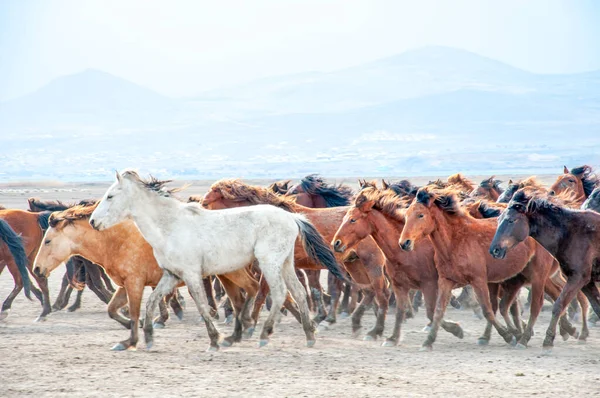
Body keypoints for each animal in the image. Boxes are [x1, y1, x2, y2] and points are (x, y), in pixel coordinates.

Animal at [86, 169, 344, 350]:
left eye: (110, 196)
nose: (92, 222)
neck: (170, 226)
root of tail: (292, 217)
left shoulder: (191, 274)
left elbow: (202, 306)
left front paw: (214, 340)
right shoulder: (171, 275)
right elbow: (151, 303)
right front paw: (146, 339)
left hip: (269, 264)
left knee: (280, 293)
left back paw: (263, 335)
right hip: (286, 263)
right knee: (298, 292)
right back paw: (309, 336)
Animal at [328, 188, 464, 346]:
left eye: (353, 219)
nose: (336, 243)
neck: (407, 252)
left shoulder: (428, 285)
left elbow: (432, 312)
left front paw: (456, 329)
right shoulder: (400, 286)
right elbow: (400, 312)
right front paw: (392, 338)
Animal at [398, 188, 556, 350]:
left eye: (420, 215)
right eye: (406, 214)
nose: (404, 243)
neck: (455, 242)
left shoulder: (478, 280)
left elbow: (487, 310)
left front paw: (507, 336)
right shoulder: (445, 280)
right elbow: (438, 311)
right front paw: (428, 341)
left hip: (538, 276)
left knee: (536, 306)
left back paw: (525, 339)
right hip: (520, 278)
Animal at [490, 190, 600, 354]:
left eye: (511, 220)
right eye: (498, 219)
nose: (494, 250)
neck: (572, 233)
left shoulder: (578, 278)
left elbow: (558, 305)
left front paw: (547, 340)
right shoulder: (587, 282)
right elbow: (597, 307)